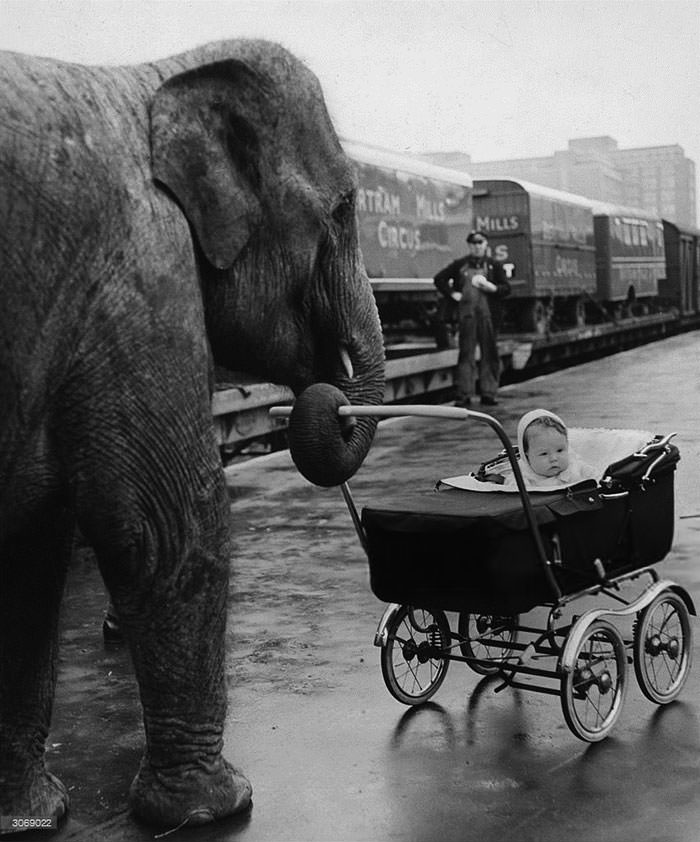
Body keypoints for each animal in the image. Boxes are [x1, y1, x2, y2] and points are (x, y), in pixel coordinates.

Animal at [0, 37, 382, 828]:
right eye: (340, 210)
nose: (329, 398)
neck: (154, 77)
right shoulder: (138, 271)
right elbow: (161, 523)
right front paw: (217, 808)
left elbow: (30, 552)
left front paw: (29, 818)